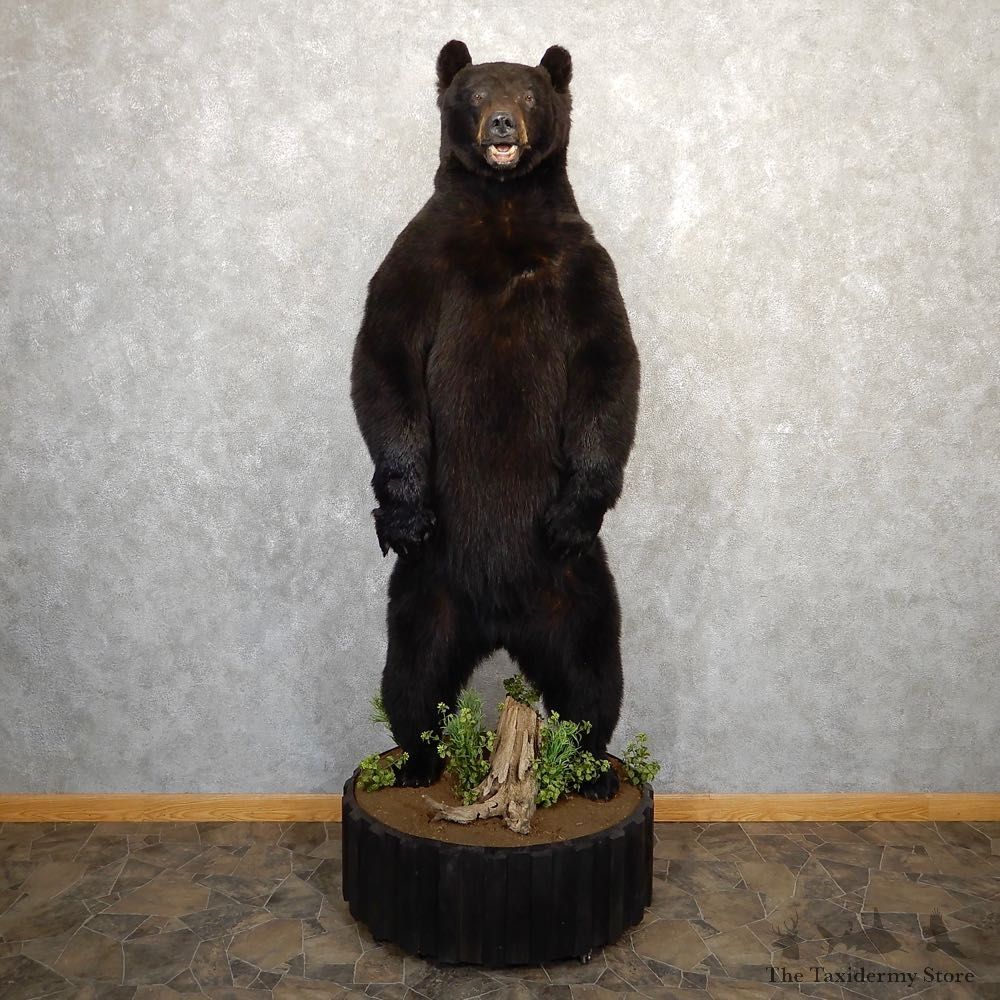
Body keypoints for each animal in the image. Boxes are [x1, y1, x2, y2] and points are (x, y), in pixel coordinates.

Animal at [351, 40, 639, 799]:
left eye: (531, 93)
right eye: (476, 93)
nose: (503, 124)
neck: (504, 216)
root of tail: (502, 621)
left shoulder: (584, 266)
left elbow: (609, 365)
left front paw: (577, 508)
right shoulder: (418, 259)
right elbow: (384, 356)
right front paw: (402, 508)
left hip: (579, 591)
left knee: (593, 679)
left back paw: (594, 771)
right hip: (425, 593)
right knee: (412, 680)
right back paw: (416, 763)